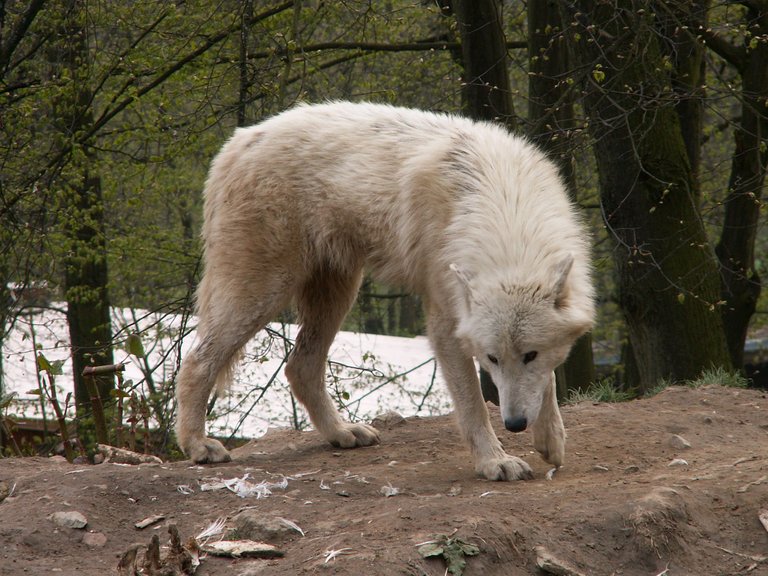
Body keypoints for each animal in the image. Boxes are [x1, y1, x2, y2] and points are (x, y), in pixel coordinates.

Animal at [176, 102, 592, 482]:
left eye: (529, 355)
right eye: (490, 359)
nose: (515, 423)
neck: (504, 204)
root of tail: (236, 143)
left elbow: (547, 381)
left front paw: (551, 440)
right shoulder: (444, 322)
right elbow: (473, 404)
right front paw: (495, 461)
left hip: (338, 292)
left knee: (300, 367)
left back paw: (341, 432)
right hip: (264, 291)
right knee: (196, 361)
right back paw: (198, 445)